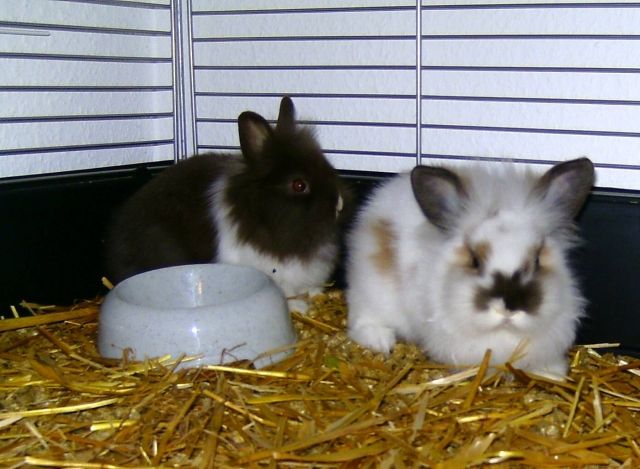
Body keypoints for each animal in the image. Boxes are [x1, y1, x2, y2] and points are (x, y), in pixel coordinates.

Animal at [346, 157, 595, 379]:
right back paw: (380, 340)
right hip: (373, 292)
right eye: (475, 260)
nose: (509, 308)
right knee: (361, 320)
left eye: (537, 261)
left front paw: (554, 374)